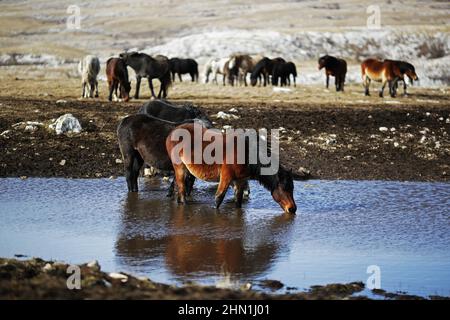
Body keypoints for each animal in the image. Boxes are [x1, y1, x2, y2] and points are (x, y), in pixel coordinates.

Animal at [164, 122, 296, 215]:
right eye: (285, 188)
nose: (293, 209)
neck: (247, 153)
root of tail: (173, 132)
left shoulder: (240, 180)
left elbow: (238, 201)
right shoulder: (226, 177)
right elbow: (219, 198)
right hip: (179, 168)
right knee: (182, 192)